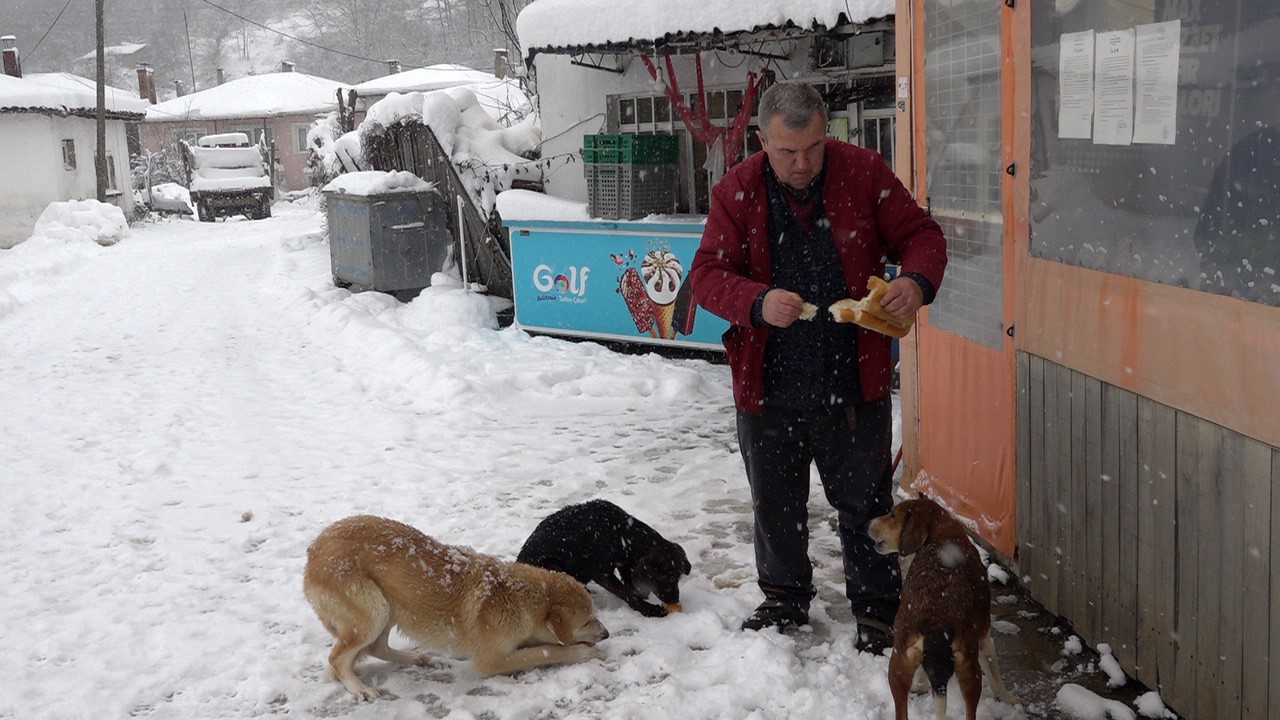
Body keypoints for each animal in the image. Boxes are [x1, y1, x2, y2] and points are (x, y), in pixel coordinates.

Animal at [302, 512, 606, 696]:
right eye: (587, 619)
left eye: (594, 615)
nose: (606, 634)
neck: (519, 597)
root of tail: (314, 550)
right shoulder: (490, 661)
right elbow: (545, 652)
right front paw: (581, 652)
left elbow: (542, 645)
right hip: (375, 610)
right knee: (338, 658)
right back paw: (359, 688)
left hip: (389, 608)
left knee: (376, 648)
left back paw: (414, 658)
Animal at [517, 499, 696, 617]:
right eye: (664, 577)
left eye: (678, 577)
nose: (675, 599)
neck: (621, 533)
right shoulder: (602, 573)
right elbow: (625, 592)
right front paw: (648, 609)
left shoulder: (625, 563)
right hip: (553, 568)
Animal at [865, 497, 1013, 717]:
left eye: (892, 515)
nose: (867, 524)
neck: (941, 532)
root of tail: (936, 624)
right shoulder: (984, 637)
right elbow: (995, 675)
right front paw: (1008, 698)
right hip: (971, 672)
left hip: (898, 667)